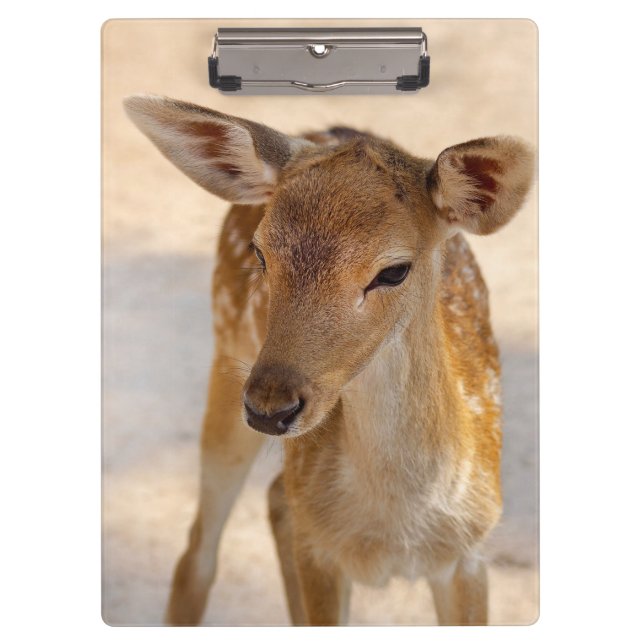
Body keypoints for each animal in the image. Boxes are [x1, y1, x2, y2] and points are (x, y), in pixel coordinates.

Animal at [124, 95, 534, 626]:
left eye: (394, 270)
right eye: (260, 253)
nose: (269, 407)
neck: (394, 529)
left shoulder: (471, 551)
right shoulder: (320, 551)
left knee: (276, 497)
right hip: (227, 355)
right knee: (198, 552)